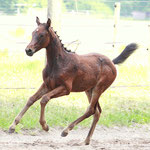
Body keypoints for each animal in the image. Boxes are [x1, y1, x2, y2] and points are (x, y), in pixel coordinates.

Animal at [8, 17, 139, 145]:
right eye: (32, 33)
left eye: (41, 35)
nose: (28, 50)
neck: (58, 63)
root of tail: (112, 62)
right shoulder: (47, 85)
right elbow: (31, 99)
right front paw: (12, 126)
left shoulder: (66, 89)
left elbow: (44, 99)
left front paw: (45, 126)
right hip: (89, 90)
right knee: (97, 112)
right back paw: (86, 140)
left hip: (99, 88)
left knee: (91, 110)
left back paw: (66, 130)